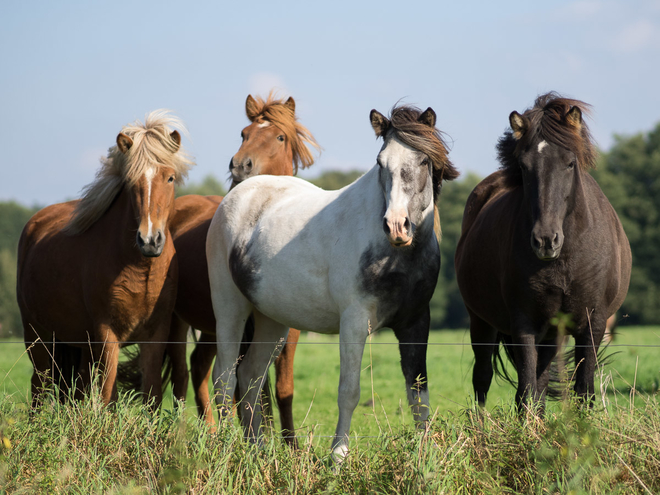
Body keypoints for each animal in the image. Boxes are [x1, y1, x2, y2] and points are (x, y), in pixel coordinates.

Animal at [16, 110, 193, 408]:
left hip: (79, 344)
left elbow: (152, 396)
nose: (150, 240)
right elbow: (108, 395)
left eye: (169, 178)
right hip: (37, 336)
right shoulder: (107, 334)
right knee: (40, 386)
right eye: (131, 181)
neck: (141, 269)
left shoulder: (155, 336)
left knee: (73, 389)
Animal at [168, 94, 320, 446]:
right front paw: (258, 437)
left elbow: (281, 389)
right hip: (179, 321)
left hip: (210, 327)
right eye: (244, 133)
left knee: (198, 367)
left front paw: (290, 447)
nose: (240, 165)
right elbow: (248, 385)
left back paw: (211, 432)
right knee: (180, 373)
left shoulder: (288, 330)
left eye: (280, 137)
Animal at [206, 103, 458, 458]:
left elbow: (418, 394)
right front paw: (338, 456)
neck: (395, 255)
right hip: (230, 308)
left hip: (271, 319)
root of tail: (235, 197)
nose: (397, 225)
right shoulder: (354, 322)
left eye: (423, 161)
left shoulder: (416, 321)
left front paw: (425, 456)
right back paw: (228, 449)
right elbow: (349, 391)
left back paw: (258, 452)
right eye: (381, 162)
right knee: (225, 378)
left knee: (250, 375)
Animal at [456, 93, 632, 410]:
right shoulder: (523, 323)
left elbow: (582, 389)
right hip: (481, 322)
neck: (564, 260)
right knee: (483, 378)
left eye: (570, 163)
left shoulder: (592, 324)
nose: (546, 241)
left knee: (538, 382)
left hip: (551, 333)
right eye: (525, 166)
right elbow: (524, 389)